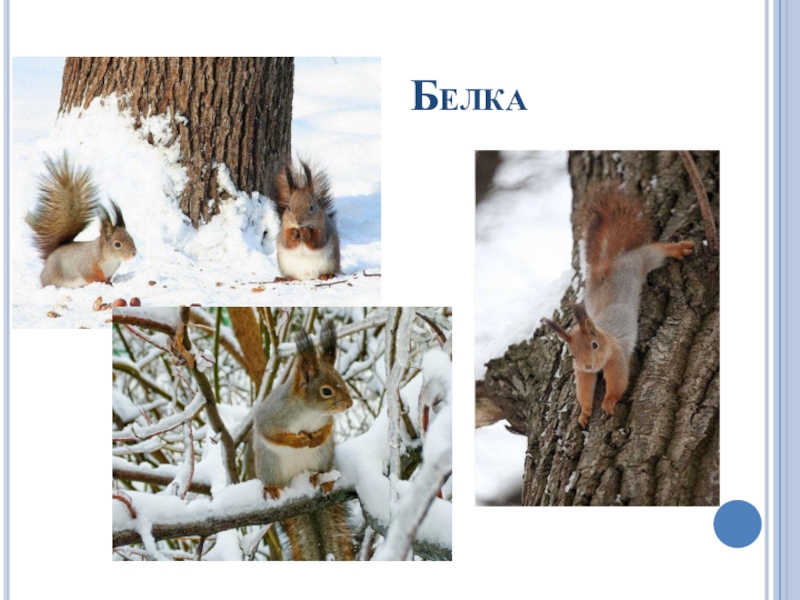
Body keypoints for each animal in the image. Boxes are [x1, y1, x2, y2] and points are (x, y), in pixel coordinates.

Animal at [24, 154, 138, 288]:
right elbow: (92, 276)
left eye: (131, 238)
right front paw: (105, 283)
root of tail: (48, 260)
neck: (109, 259)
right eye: (117, 244)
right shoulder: (88, 266)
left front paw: (110, 282)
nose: (134, 253)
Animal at [253, 322, 354, 560]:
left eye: (341, 381)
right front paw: (298, 441)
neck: (309, 412)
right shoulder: (269, 417)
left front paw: (317, 437)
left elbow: (328, 428)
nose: (349, 404)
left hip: (323, 457)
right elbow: (273, 435)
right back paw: (272, 488)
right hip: (270, 465)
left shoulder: (325, 420)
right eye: (326, 391)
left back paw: (321, 478)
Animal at [544, 185, 692, 428]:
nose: (589, 365)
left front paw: (608, 402)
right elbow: (584, 391)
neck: (606, 339)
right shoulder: (581, 373)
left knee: (656, 250)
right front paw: (584, 412)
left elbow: (618, 383)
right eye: (572, 355)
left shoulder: (617, 357)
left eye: (594, 345)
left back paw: (678, 249)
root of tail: (609, 262)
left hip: (642, 260)